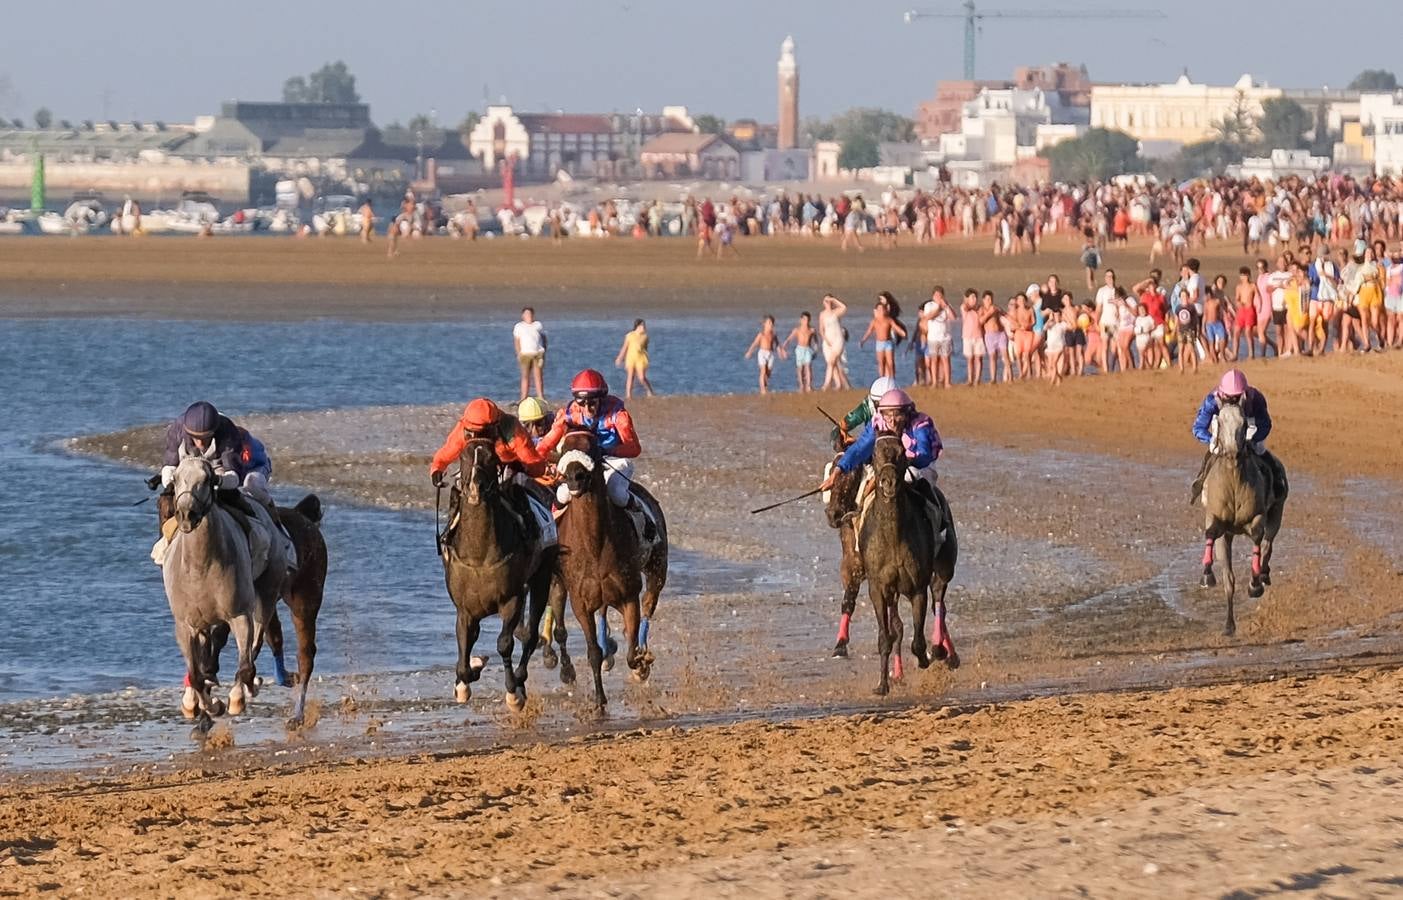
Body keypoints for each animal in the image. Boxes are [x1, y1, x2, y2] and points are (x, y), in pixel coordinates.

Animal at [162, 454, 286, 724]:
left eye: (207, 479)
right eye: (176, 478)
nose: (186, 514)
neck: (200, 566)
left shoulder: (239, 614)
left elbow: (245, 665)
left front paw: (237, 697)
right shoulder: (185, 624)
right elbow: (196, 674)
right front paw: (208, 705)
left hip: (267, 591)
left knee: (254, 643)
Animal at [437, 438, 552, 707]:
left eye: (491, 458)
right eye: (464, 456)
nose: (474, 488)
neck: (480, 556)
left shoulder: (512, 599)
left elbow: (504, 643)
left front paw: (513, 693)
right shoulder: (466, 609)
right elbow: (464, 645)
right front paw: (467, 678)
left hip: (542, 578)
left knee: (530, 635)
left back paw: (520, 680)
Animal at [552, 426, 667, 707]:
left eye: (593, 446)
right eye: (563, 447)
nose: (574, 477)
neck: (595, 546)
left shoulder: (628, 596)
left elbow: (632, 650)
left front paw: (641, 663)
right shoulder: (581, 603)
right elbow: (593, 651)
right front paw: (599, 699)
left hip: (657, 568)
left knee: (649, 604)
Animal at [847, 435, 959, 696]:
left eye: (901, 454)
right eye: (875, 453)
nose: (888, 482)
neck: (893, 536)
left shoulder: (917, 586)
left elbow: (917, 641)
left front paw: (928, 656)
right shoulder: (879, 587)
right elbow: (886, 636)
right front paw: (882, 684)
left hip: (944, 565)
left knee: (939, 600)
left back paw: (942, 650)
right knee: (899, 623)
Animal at [1200, 395, 1285, 634]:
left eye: (1245, 423)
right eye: (1219, 422)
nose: (1232, 450)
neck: (1233, 481)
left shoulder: (1258, 517)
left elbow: (1257, 537)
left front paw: (1255, 584)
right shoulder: (1217, 522)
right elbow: (1226, 574)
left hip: (1277, 513)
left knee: (1267, 544)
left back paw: (1263, 573)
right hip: (1229, 534)